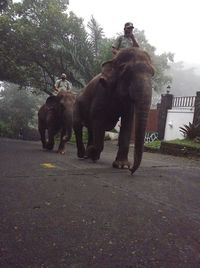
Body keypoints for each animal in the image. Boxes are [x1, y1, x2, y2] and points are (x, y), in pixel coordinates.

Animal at [73, 46, 155, 174]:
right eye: (127, 72)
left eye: (153, 73)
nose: (131, 170)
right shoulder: (101, 91)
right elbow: (98, 119)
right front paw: (92, 151)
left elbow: (128, 121)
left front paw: (122, 165)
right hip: (76, 105)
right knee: (78, 126)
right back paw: (83, 155)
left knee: (91, 129)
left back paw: (89, 155)